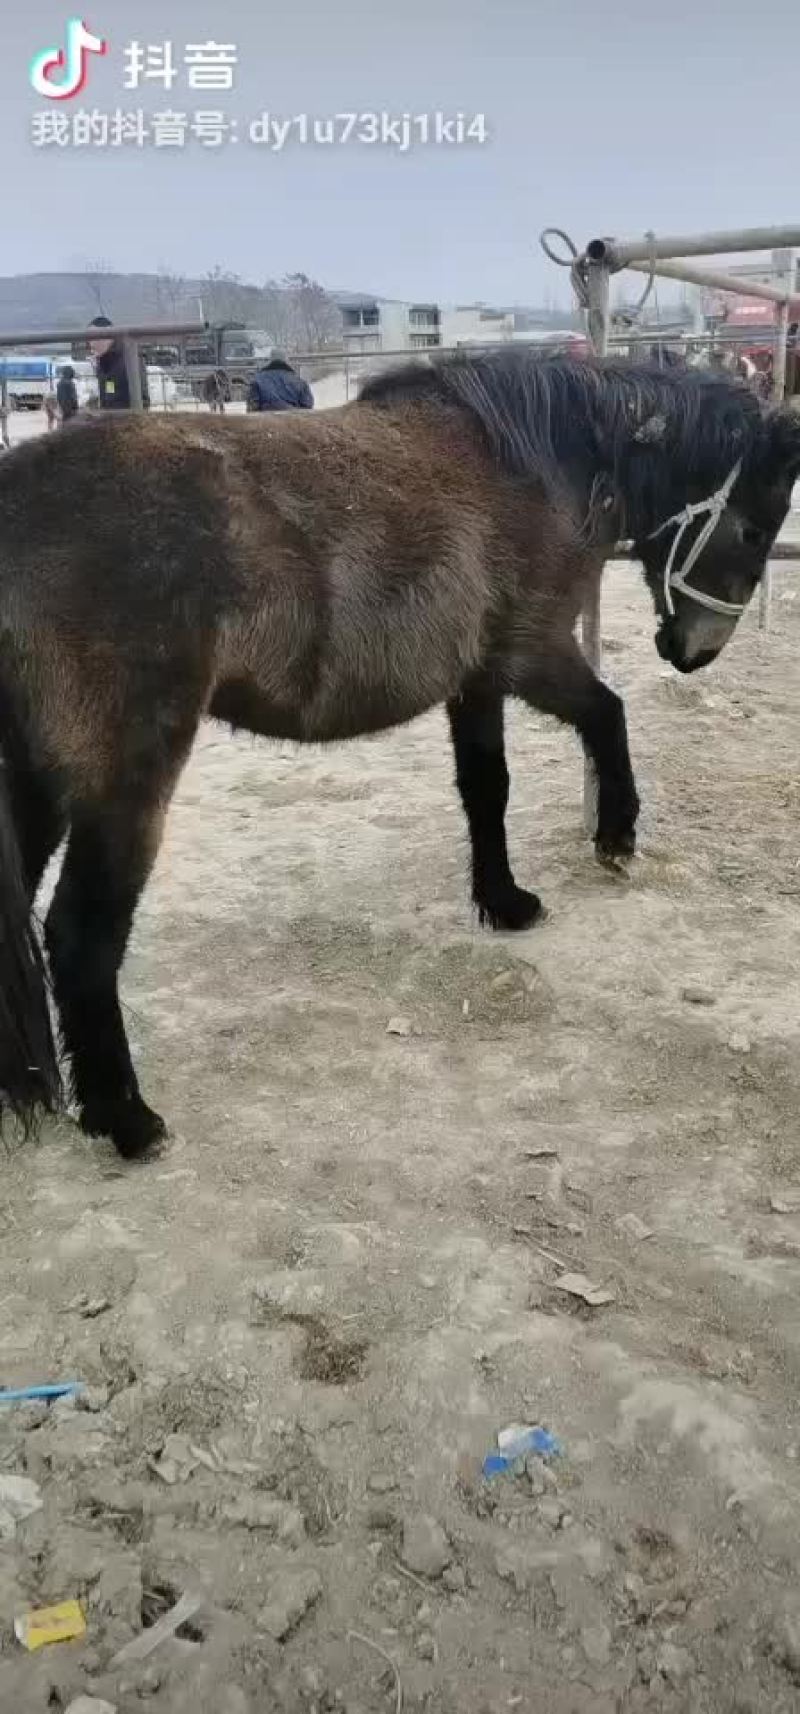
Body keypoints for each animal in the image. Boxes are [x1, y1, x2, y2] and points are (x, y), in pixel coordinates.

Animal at [1, 350, 798, 1159]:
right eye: (754, 531)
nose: (695, 652)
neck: (537, 459)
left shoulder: (477, 678)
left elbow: (487, 787)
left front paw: (502, 900)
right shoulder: (532, 653)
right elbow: (609, 716)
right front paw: (615, 835)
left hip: (32, 784)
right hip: (122, 788)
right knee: (80, 936)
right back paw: (125, 1116)